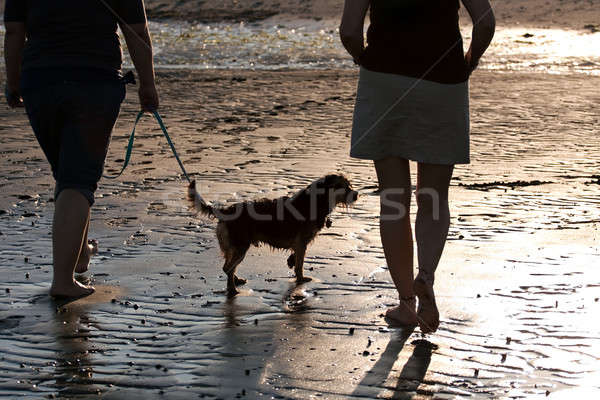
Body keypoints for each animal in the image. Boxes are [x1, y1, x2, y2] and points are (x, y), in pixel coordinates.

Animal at [188, 173, 356, 296]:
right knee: (229, 267)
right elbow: (300, 264)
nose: (356, 194)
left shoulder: (299, 243)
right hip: (240, 246)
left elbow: (295, 258)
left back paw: (236, 280)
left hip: (232, 246)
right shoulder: (301, 242)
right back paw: (232, 289)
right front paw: (301, 279)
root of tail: (226, 211)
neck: (317, 199)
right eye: (341, 186)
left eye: (349, 185)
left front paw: (291, 262)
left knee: (227, 266)